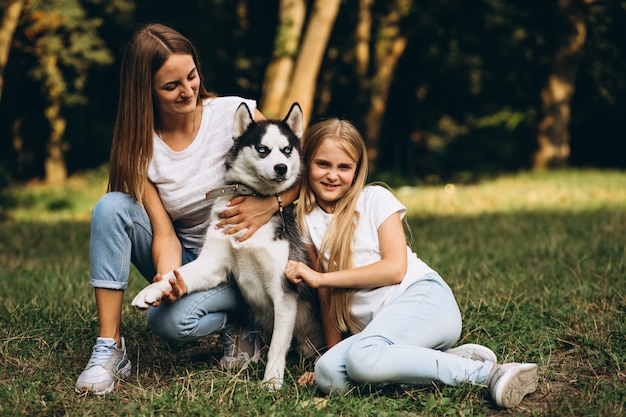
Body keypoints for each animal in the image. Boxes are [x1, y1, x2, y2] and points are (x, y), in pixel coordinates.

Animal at [133, 102, 324, 388]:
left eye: (287, 150)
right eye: (262, 149)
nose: (282, 168)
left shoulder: (284, 289)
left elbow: (278, 345)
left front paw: (271, 382)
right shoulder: (212, 265)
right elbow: (176, 275)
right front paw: (152, 290)